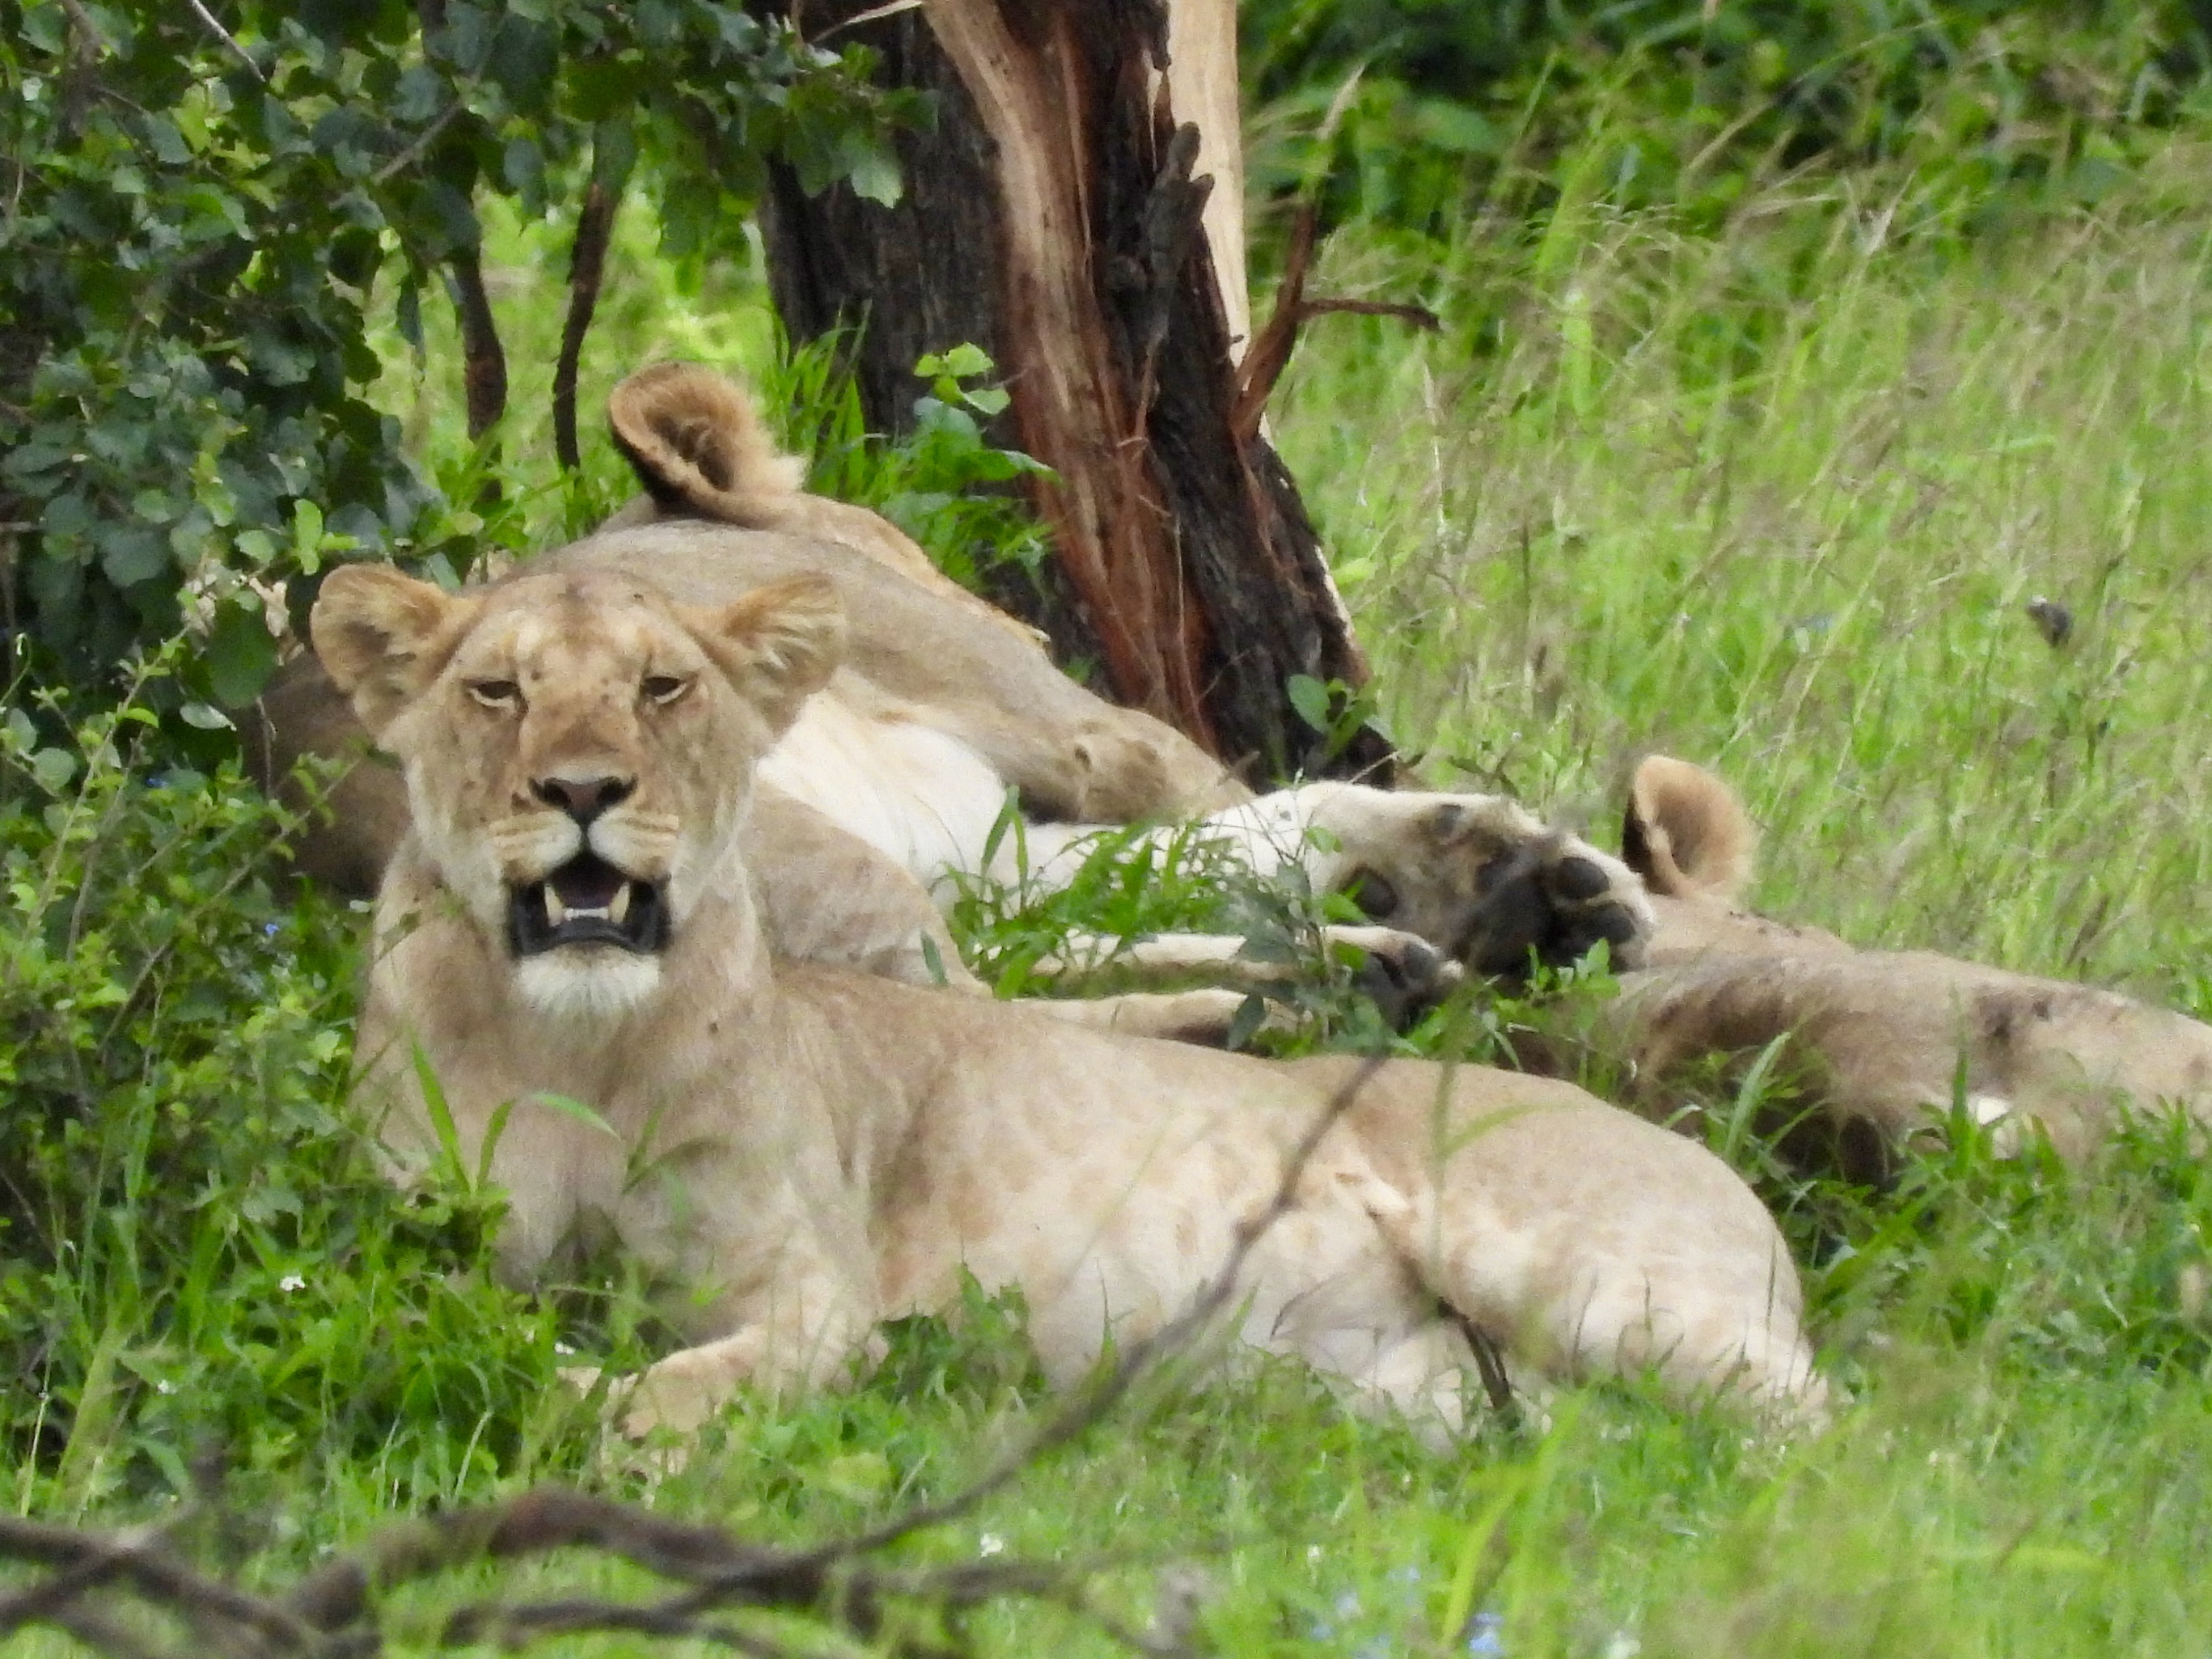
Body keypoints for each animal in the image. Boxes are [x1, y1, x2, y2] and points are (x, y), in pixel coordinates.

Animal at [310, 560, 1821, 1435]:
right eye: (495, 691)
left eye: (662, 686)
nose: (581, 789)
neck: (572, 1036)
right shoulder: (419, 1250)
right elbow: (459, 1331)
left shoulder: (816, 1298)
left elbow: (679, 1383)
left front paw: (574, 1407)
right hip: (1429, 1398)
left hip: (1590, 1287)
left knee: (1831, 1447)